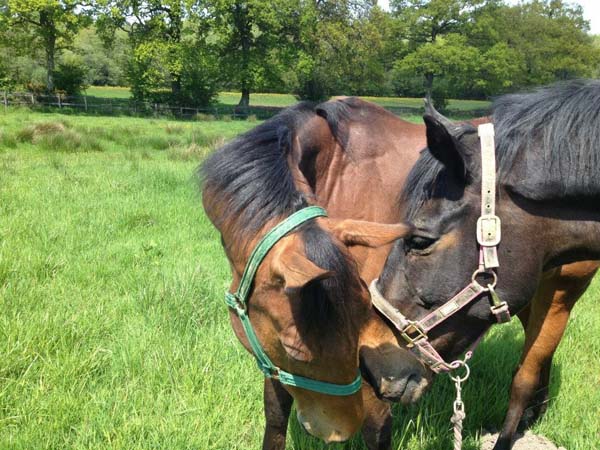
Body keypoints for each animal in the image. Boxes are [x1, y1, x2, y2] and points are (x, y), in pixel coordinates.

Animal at [199, 107, 428, 448]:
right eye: (295, 350)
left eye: (362, 314)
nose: (341, 430)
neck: (335, 166)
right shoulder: (270, 352)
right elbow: (275, 415)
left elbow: (377, 428)